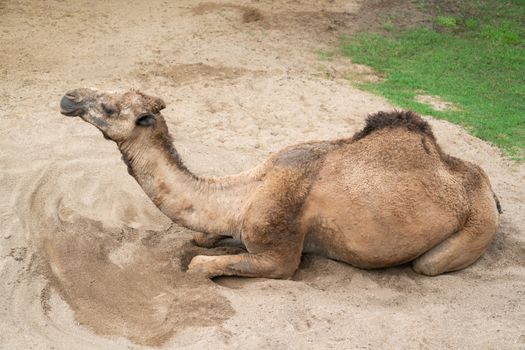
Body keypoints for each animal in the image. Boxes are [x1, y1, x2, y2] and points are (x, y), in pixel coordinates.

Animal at [60, 89, 500, 278]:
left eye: (109, 107)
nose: (69, 97)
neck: (245, 192)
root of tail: (489, 192)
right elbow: (202, 239)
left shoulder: (279, 253)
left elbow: (200, 265)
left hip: (475, 228)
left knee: (428, 264)